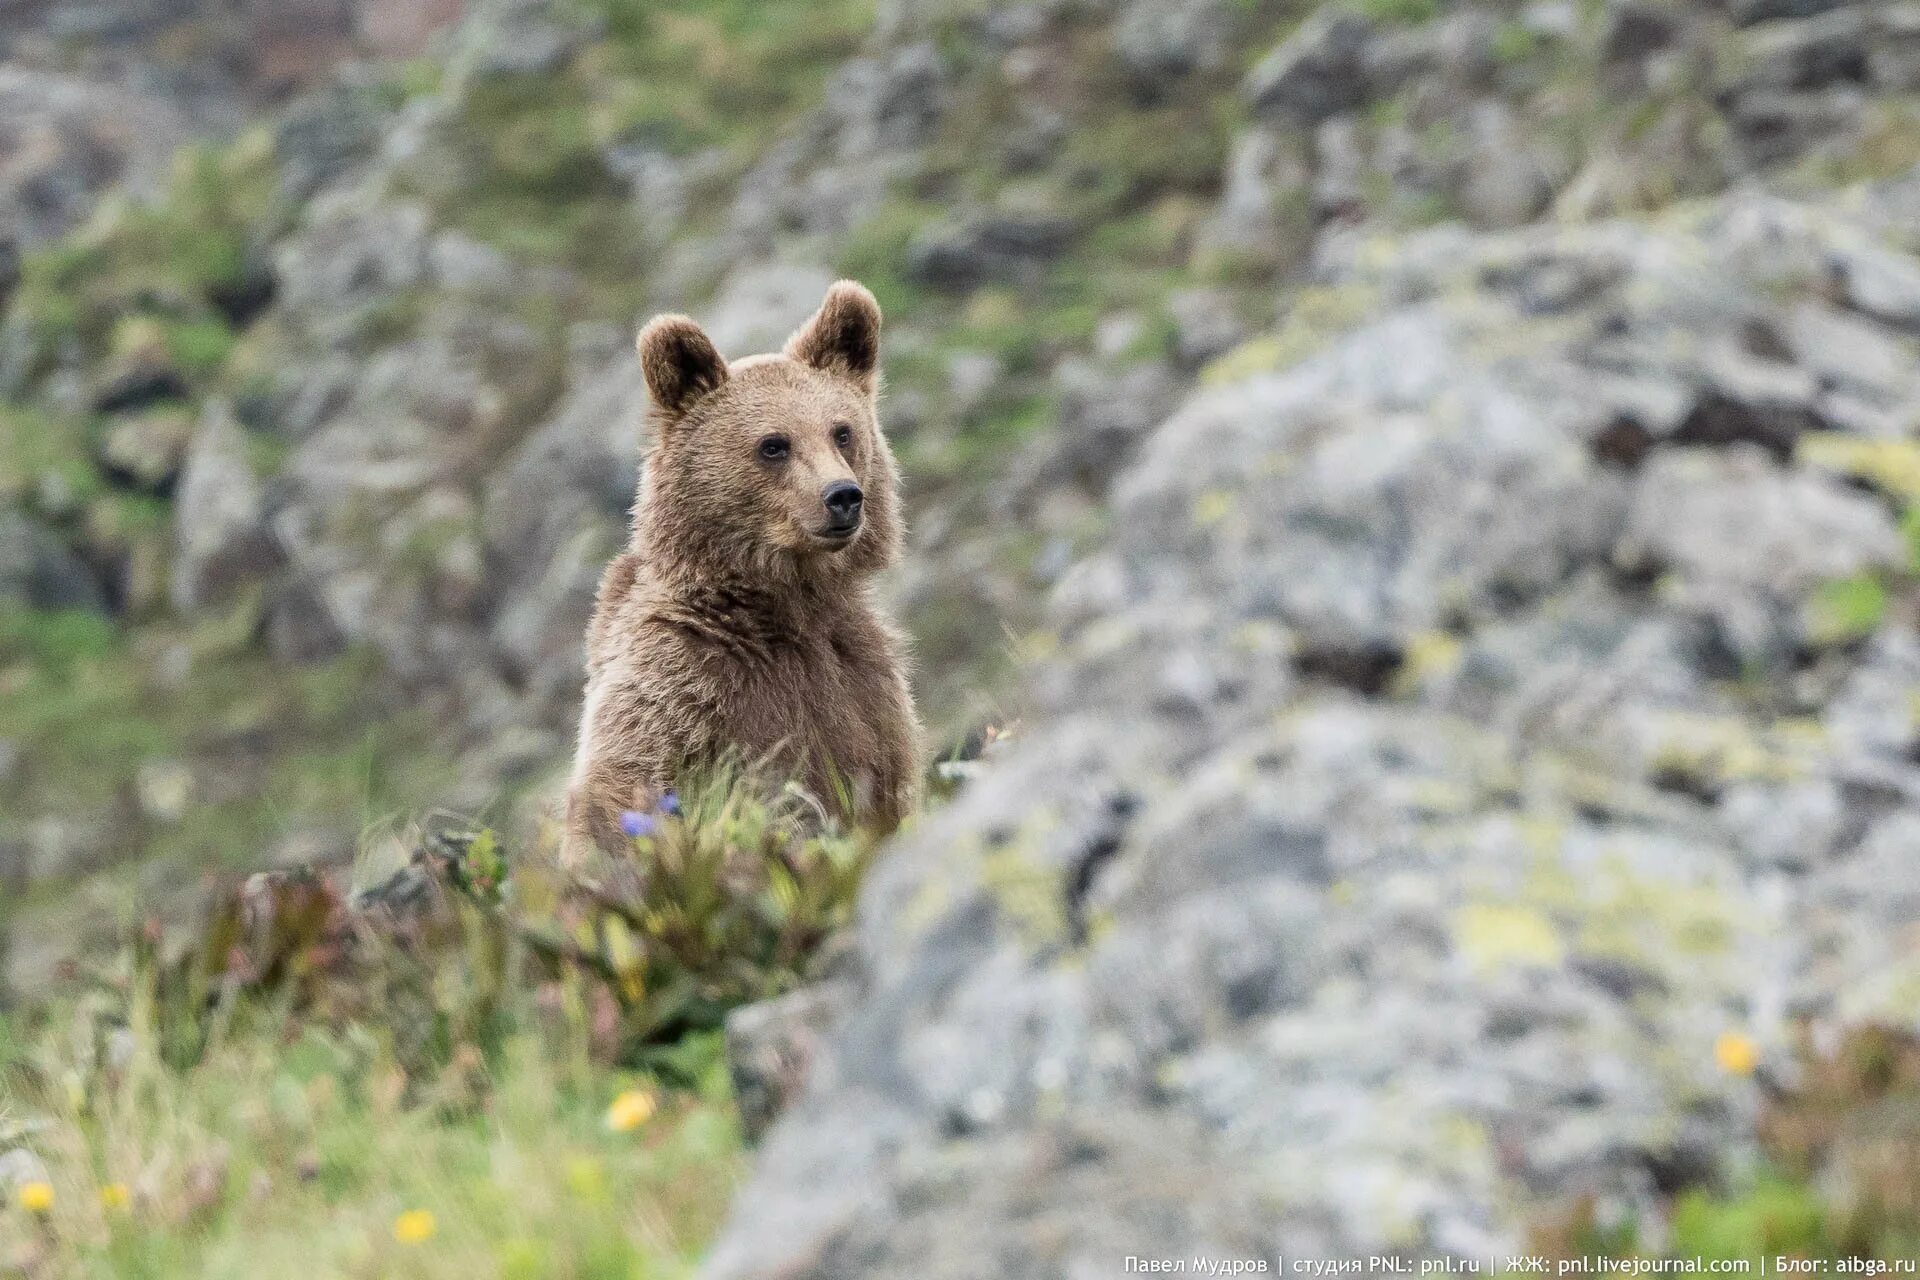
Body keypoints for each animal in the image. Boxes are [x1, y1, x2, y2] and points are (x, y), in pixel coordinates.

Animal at [560, 285, 921, 855]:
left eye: (841, 432)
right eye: (773, 444)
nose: (843, 496)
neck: (786, 602)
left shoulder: (863, 683)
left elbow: (887, 782)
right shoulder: (682, 679)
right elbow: (627, 782)